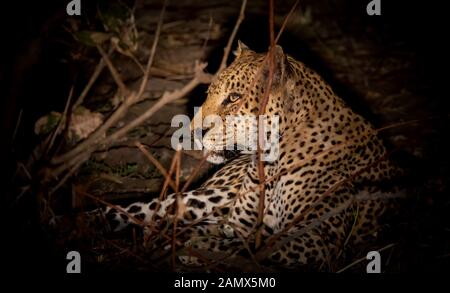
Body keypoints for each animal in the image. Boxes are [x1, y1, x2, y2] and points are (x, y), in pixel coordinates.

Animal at [70, 40, 408, 270]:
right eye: (208, 94)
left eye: (233, 98)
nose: (193, 131)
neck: (269, 162)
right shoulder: (237, 224)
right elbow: (235, 239)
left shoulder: (315, 240)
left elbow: (250, 249)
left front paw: (195, 245)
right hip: (211, 195)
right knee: (147, 209)